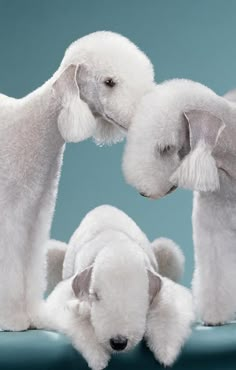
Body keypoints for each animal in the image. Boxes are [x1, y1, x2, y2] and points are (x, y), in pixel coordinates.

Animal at [0, 29, 155, 330]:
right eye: (109, 82)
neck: (31, 127)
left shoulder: (35, 220)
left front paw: (35, 316)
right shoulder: (9, 216)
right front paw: (12, 319)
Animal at [40, 205, 195, 370]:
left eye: (140, 297)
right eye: (95, 295)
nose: (118, 342)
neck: (115, 243)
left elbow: (167, 311)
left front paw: (166, 352)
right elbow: (76, 319)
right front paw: (97, 357)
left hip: (168, 252)